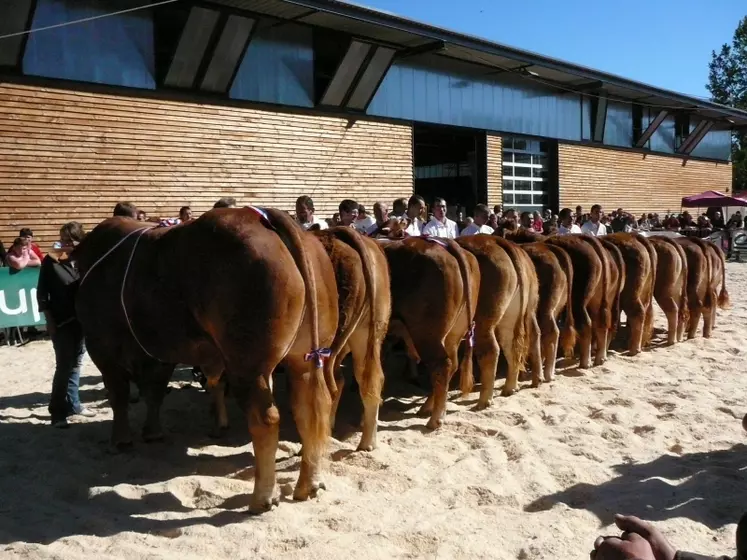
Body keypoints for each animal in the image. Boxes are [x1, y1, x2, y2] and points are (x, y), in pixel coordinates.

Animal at [72, 209, 336, 512]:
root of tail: (260, 217)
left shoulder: (101, 346)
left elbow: (119, 396)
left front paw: (120, 439)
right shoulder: (159, 354)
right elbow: (154, 393)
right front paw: (152, 432)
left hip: (247, 365)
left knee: (266, 419)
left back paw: (262, 497)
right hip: (302, 360)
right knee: (310, 409)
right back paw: (309, 483)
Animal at [382, 237, 482, 428]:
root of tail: (445, 244)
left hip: (426, 334)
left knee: (441, 365)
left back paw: (435, 418)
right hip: (452, 335)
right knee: (451, 364)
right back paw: (428, 408)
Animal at [458, 234, 540, 404]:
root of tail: (499, 242)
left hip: (485, 319)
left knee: (491, 349)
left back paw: (484, 400)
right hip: (522, 311)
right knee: (518, 343)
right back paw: (514, 386)